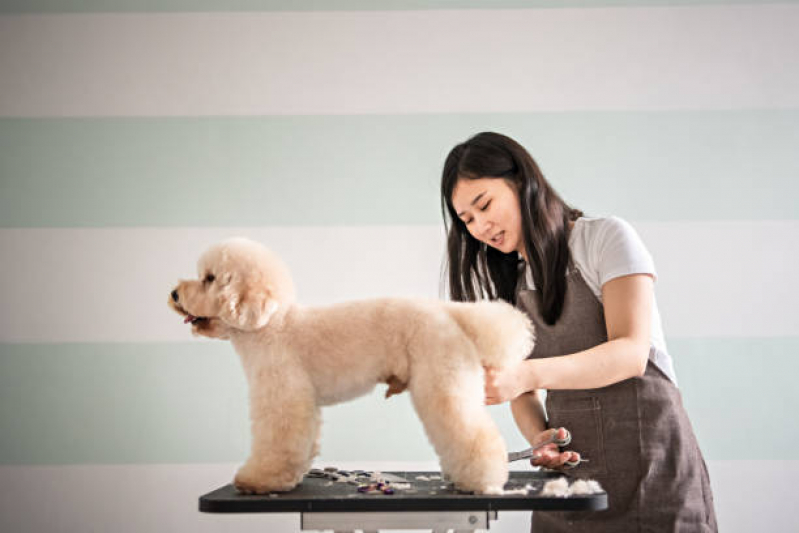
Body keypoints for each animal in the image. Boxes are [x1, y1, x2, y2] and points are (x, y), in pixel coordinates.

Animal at [168, 237, 536, 494]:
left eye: (209, 278)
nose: (173, 293)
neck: (271, 325)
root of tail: (452, 314)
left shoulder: (282, 398)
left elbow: (276, 443)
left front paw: (260, 479)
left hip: (443, 383)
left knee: (475, 434)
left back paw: (484, 481)